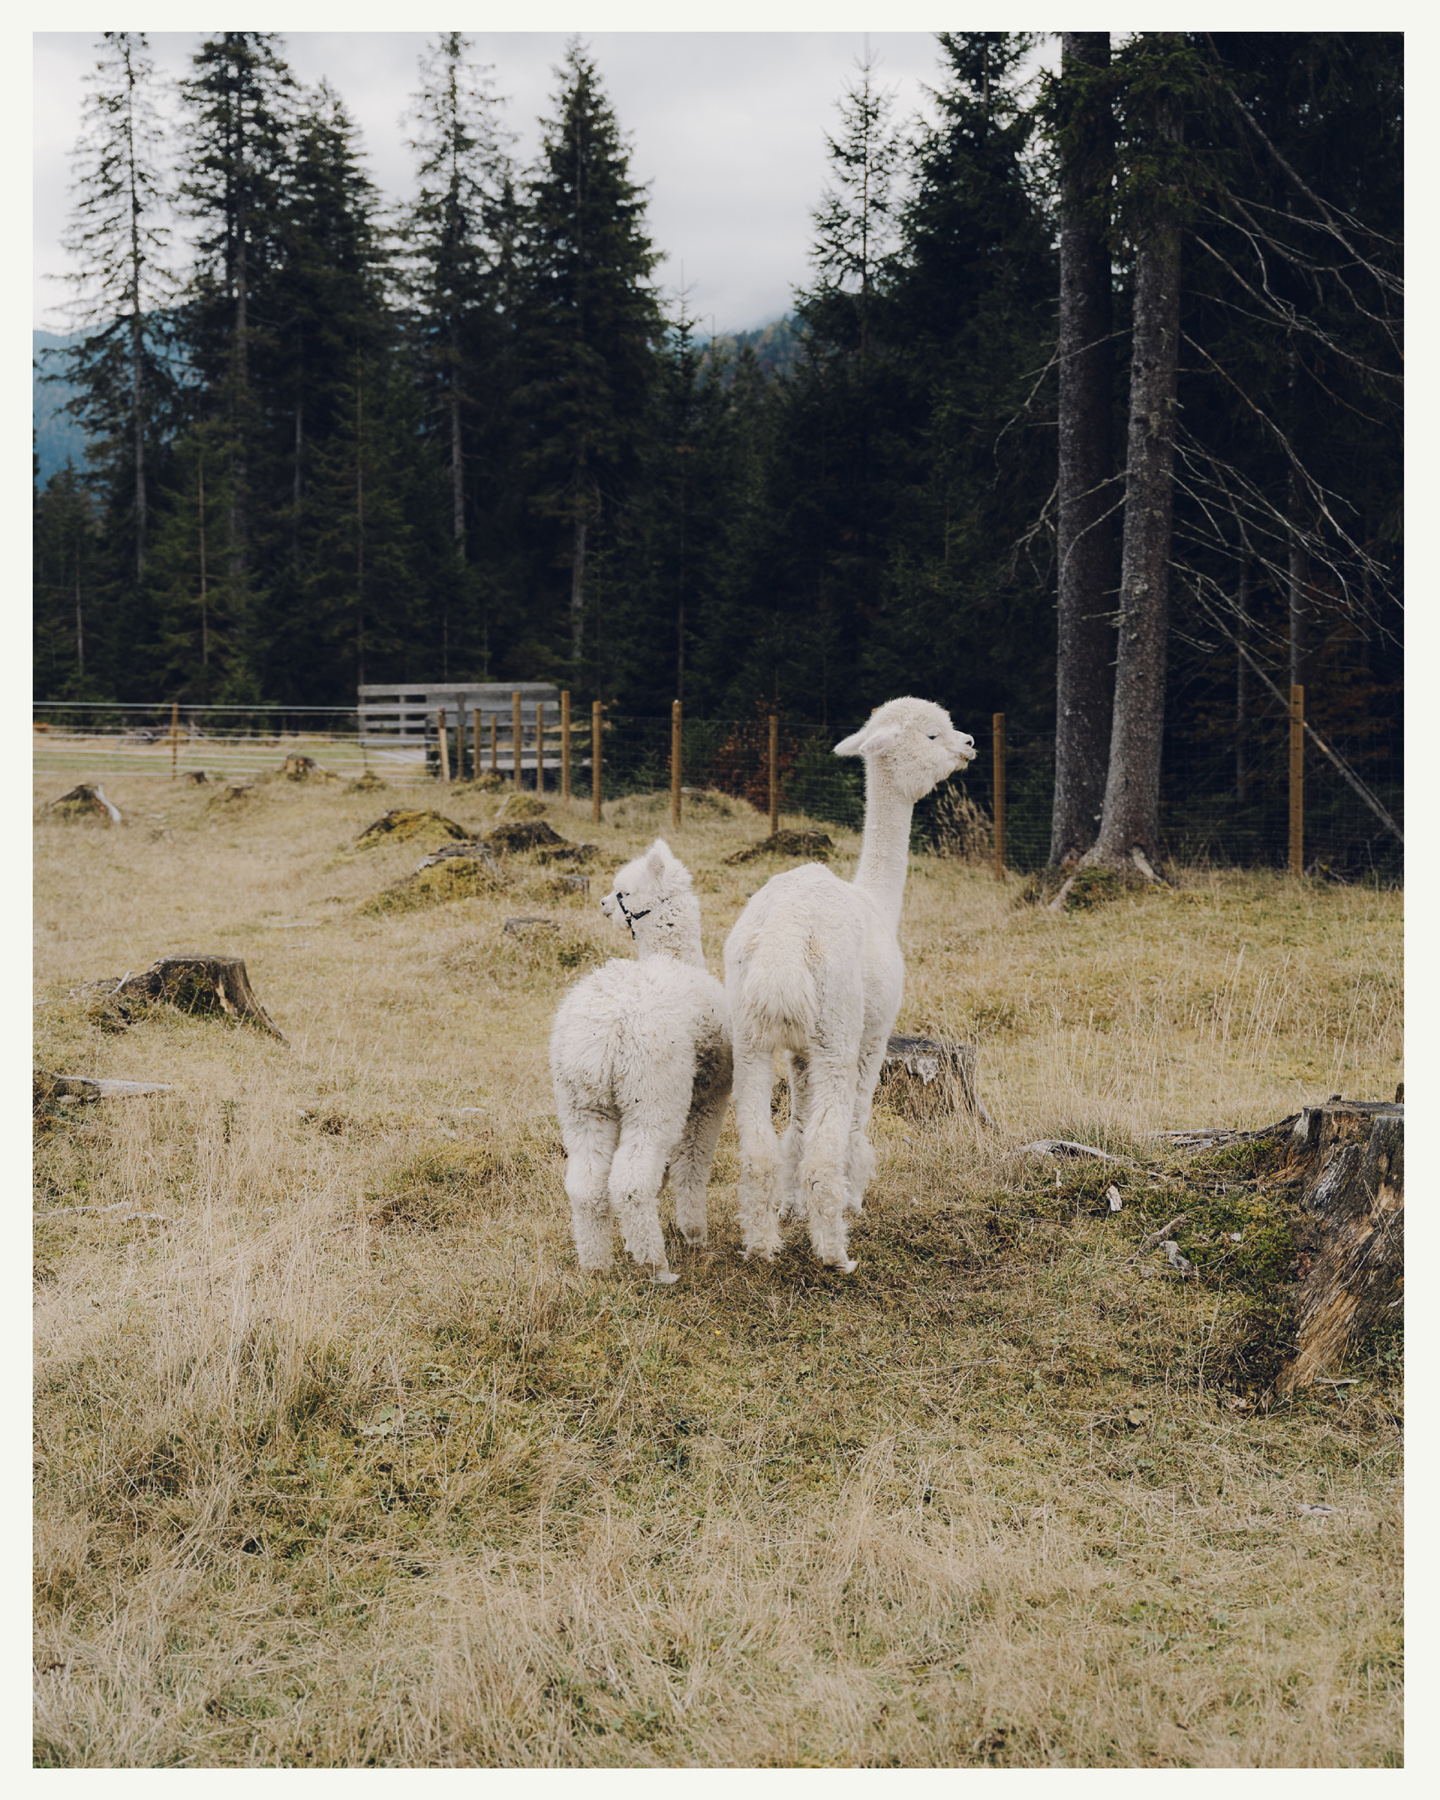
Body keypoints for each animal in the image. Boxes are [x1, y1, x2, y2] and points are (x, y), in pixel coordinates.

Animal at [550, 838, 732, 1283]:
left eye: (624, 891)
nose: (602, 903)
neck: (676, 960)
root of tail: (603, 1035)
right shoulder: (709, 1097)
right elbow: (693, 1162)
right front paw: (694, 1234)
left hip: (581, 1102)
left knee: (586, 1185)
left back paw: (595, 1264)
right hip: (652, 1092)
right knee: (630, 1183)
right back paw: (656, 1265)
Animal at [723, 697, 976, 1271]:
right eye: (934, 735)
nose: (971, 744)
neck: (879, 902)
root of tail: (784, 942)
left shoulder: (798, 1051)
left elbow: (795, 1126)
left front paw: (791, 1209)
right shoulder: (874, 1034)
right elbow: (855, 1124)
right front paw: (854, 1197)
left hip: (751, 1035)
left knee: (758, 1148)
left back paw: (762, 1246)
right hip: (836, 1026)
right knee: (825, 1145)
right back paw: (836, 1253)